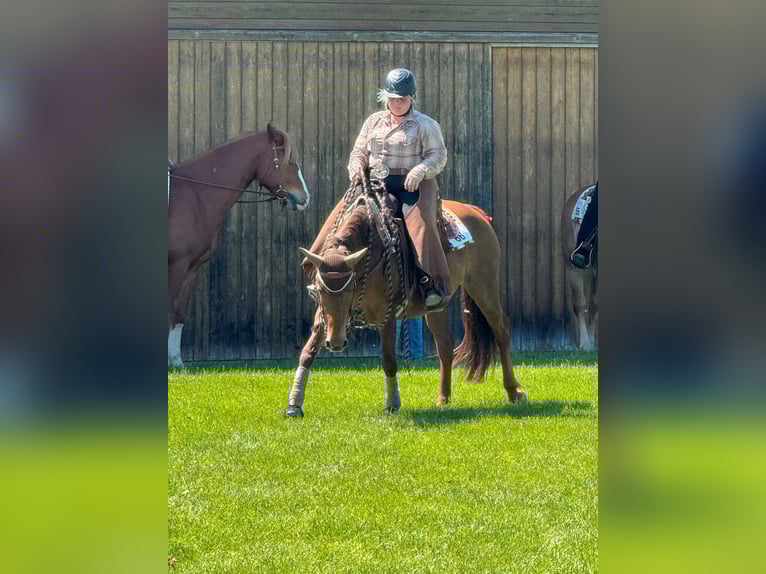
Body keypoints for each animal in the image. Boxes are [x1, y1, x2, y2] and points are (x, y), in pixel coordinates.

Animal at [168, 123, 310, 368]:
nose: (305, 198)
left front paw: (176, 361)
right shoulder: (176, 266)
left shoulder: (191, 269)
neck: (194, 196)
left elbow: (178, 313)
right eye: (290, 161)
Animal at [286, 185, 527, 417]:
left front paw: (393, 404)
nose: (335, 343)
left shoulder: (386, 314)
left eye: (350, 290)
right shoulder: (324, 316)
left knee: (501, 330)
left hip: (483, 286)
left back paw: (514, 391)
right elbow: (307, 353)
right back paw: (443, 398)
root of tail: (476, 213)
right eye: (319, 291)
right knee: (445, 344)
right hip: (438, 306)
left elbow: (389, 359)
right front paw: (295, 404)